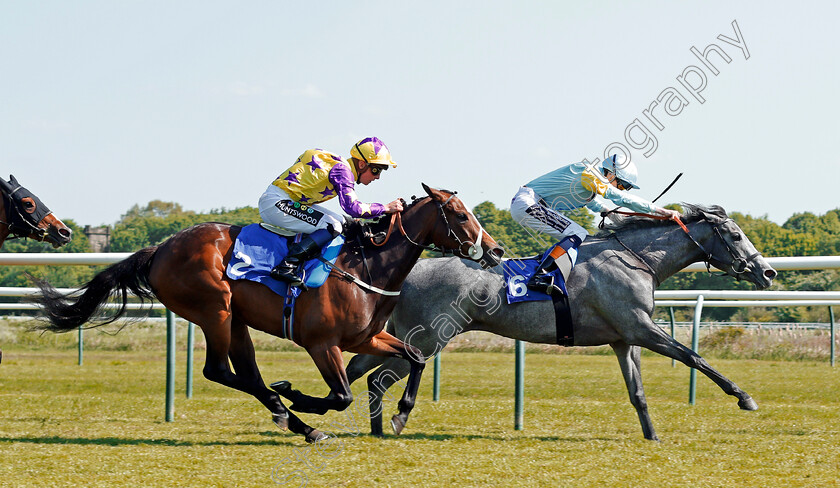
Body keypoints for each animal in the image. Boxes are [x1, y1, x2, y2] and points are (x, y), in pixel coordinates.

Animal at [32, 184, 502, 442]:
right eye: (459, 214)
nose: (496, 251)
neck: (365, 266)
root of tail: (160, 249)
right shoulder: (321, 343)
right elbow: (341, 395)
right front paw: (302, 398)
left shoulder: (364, 337)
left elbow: (415, 356)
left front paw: (402, 414)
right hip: (216, 311)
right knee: (219, 372)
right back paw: (292, 413)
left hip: (236, 321)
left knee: (246, 374)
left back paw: (287, 415)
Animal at [344, 204, 776, 440]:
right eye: (736, 236)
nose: (768, 272)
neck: (635, 258)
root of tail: (407, 274)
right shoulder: (641, 328)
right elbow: (693, 357)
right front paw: (744, 397)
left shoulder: (625, 339)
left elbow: (637, 391)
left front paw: (652, 435)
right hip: (430, 337)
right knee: (381, 376)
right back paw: (393, 419)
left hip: (397, 336)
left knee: (360, 371)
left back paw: (364, 423)